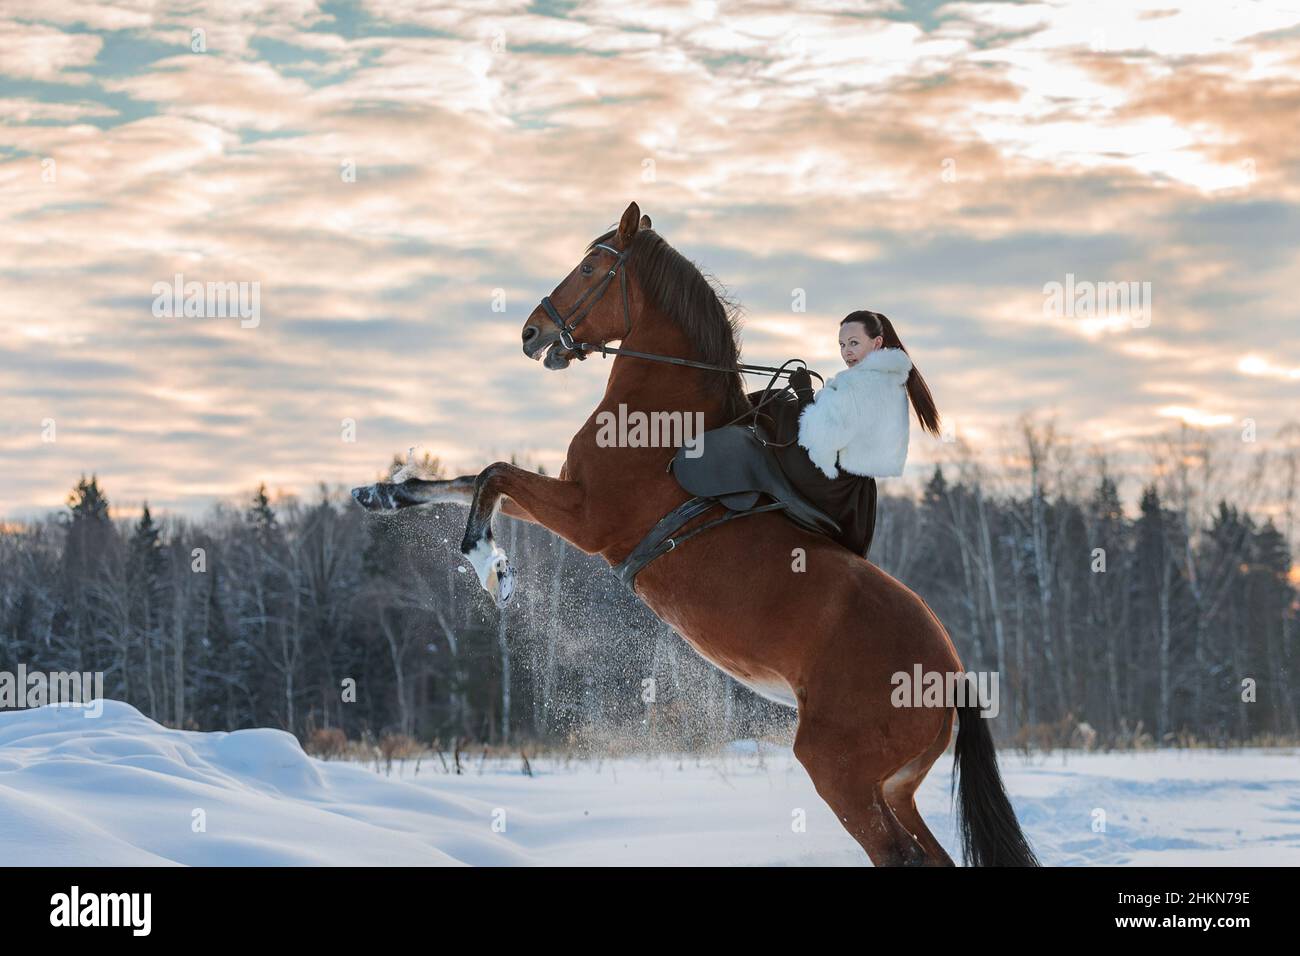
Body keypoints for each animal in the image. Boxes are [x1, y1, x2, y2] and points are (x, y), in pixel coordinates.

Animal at [353, 201, 1034, 868]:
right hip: (893, 787)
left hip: (841, 774)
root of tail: (953, 675)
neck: (657, 418)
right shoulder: (566, 497)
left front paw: (491, 568)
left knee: (899, 856)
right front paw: (381, 495)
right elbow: (469, 479)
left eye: (590, 267)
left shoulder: (584, 515)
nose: (531, 332)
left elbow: (491, 475)